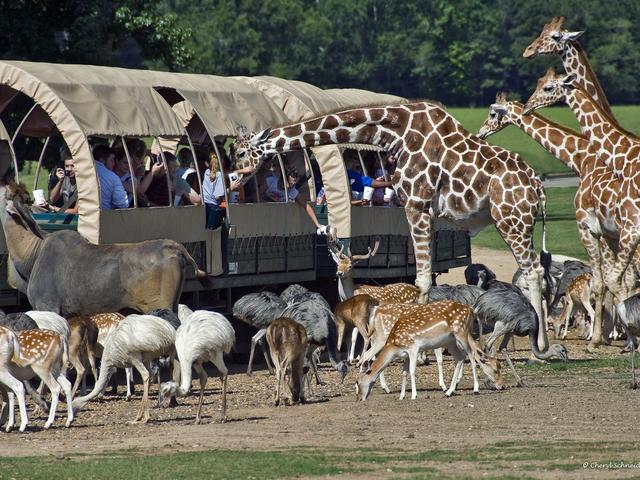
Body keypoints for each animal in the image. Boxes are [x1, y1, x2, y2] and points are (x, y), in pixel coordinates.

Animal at [232, 101, 552, 350]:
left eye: (239, 152)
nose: (234, 178)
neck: (394, 132)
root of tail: (536, 184)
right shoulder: (425, 211)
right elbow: (423, 277)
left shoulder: (415, 203)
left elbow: (422, 280)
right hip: (517, 221)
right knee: (533, 271)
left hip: (511, 219)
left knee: (533, 271)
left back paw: (541, 344)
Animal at [356, 300, 504, 402]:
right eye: (496, 369)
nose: (501, 386)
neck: (395, 344)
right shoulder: (412, 351)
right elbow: (409, 371)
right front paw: (405, 395)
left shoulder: (413, 349)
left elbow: (410, 371)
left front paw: (411, 395)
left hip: (457, 336)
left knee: (467, 356)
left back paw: (470, 389)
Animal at [478, 94, 628, 348]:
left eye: (492, 113)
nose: (480, 133)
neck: (581, 159)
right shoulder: (608, 233)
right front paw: (607, 335)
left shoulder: (590, 228)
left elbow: (603, 282)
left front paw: (599, 338)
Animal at [524, 69, 640, 314]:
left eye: (548, 87)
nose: (527, 106)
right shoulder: (614, 233)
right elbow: (611, 281)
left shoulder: (602, 228)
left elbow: (609, 282)